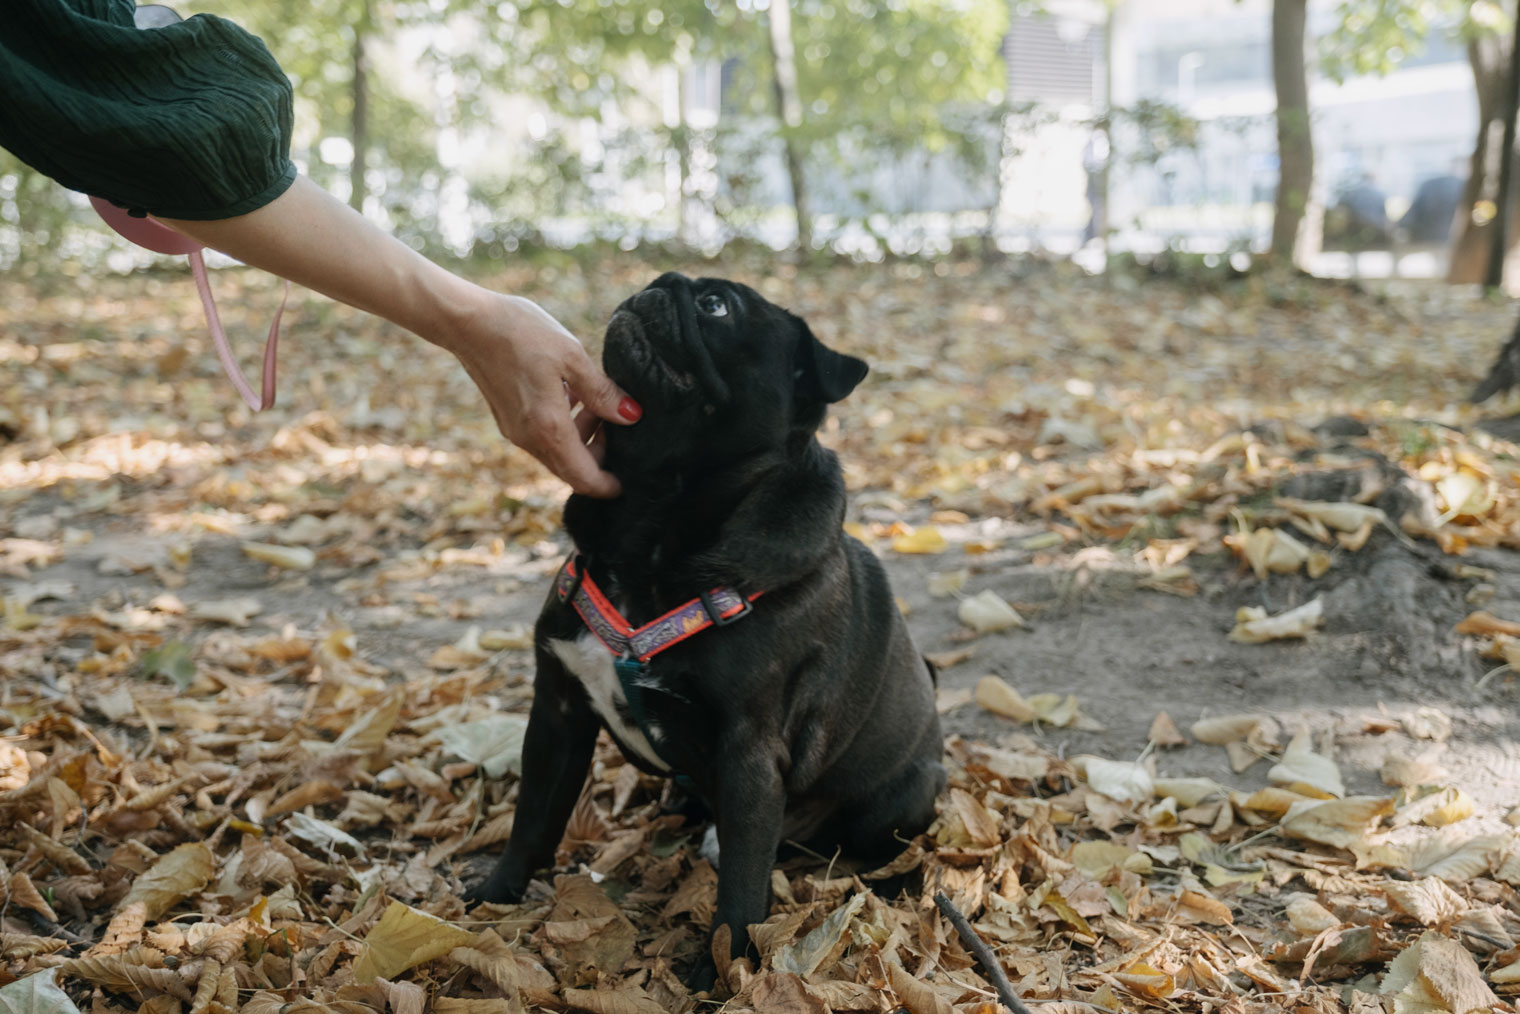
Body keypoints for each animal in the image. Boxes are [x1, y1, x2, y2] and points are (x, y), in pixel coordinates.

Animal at [474, 273, 942, 979]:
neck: (647, 525)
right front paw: (496, 892)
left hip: (899, 798)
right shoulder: (557, 713)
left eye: (717, 306)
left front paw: (728, 969)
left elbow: (744, 883)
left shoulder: (749, 754)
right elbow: (534, 816)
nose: (659, 282)